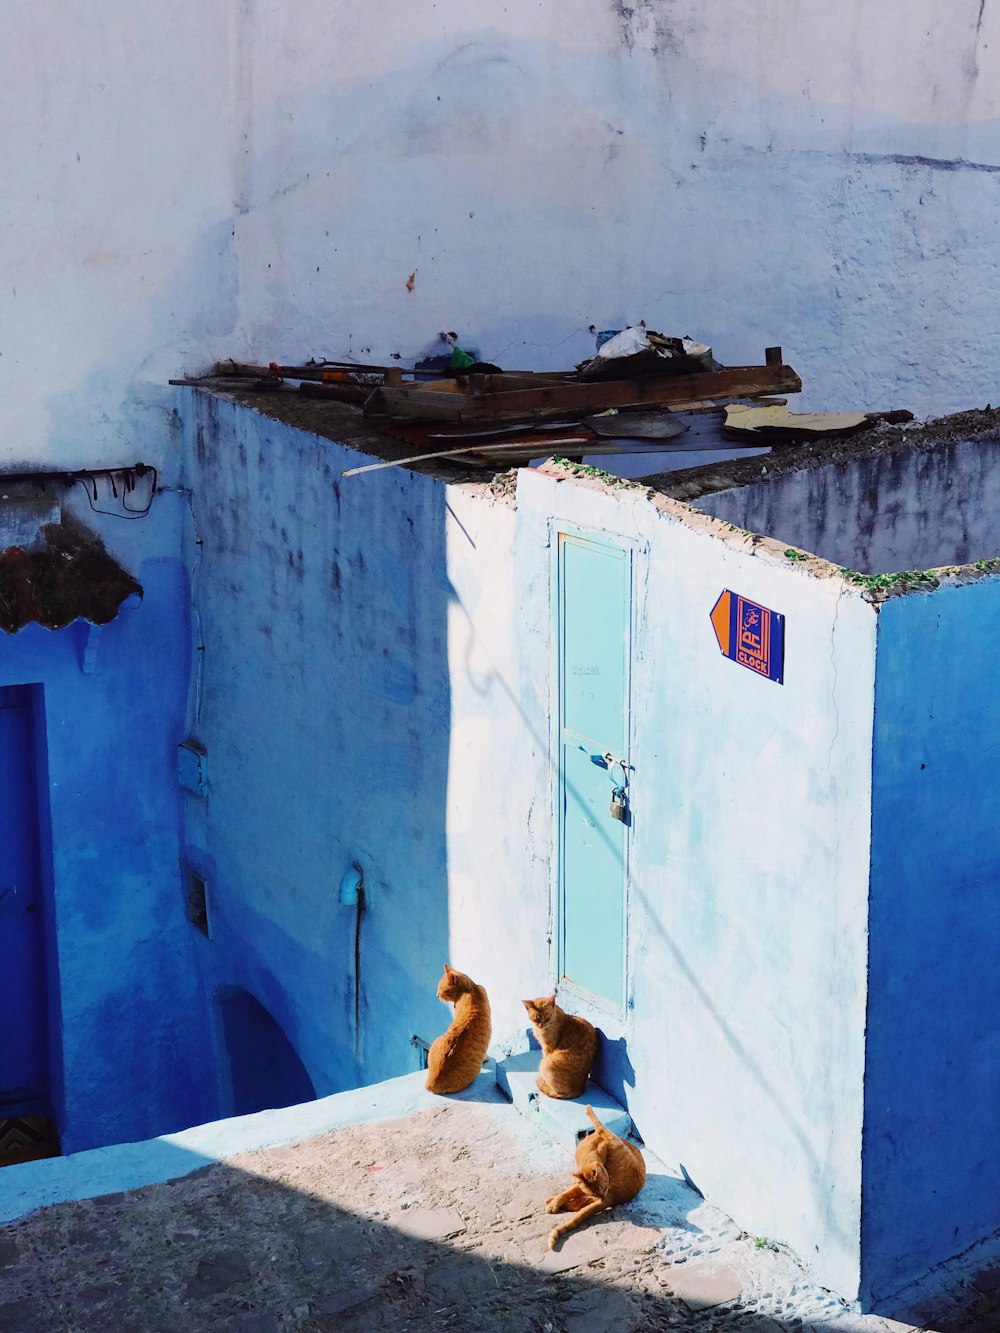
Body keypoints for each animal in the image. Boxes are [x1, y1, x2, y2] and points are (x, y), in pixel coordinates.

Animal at [544, 1103, 645, 1247]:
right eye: (598, 1190)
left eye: (603, 1187)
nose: (601, 1197)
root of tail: (615, 1197)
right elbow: (570, 1192)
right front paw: (556, 1202)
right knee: (578, 1204)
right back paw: (552, 1201)